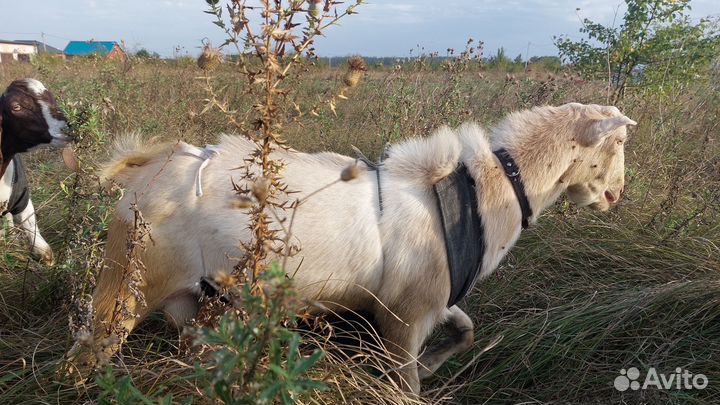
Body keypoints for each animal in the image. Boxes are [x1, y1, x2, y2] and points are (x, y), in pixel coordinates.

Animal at [73, 101, 636, 392]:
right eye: (620, 142)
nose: (617, 193)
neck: (483, 192)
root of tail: (149, 166)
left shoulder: (430, 300)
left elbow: (467, 330)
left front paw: (435, 362)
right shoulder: (404, 318)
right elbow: (405, 383)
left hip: (193, 300)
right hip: (130, 284)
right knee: (88, 352)